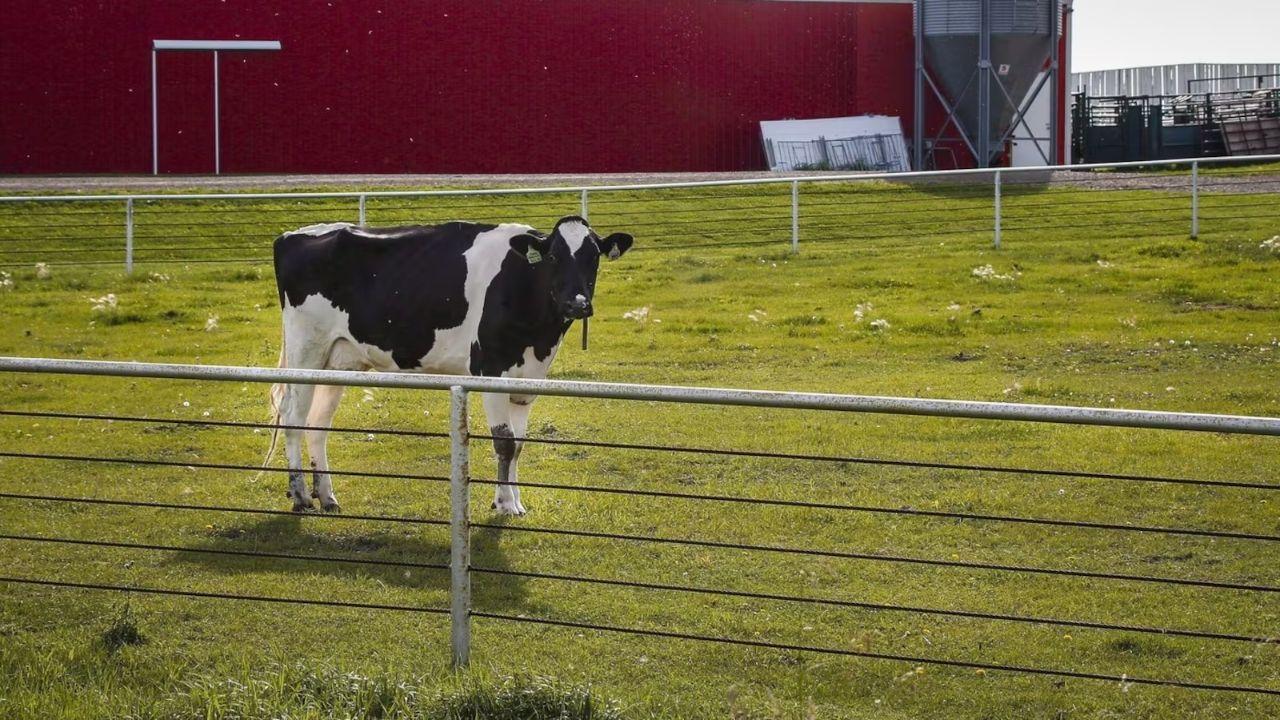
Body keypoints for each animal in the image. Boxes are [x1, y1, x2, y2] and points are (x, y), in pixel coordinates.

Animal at [266, 216, 633, 515]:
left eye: (594, 257)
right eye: (554, 257)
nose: (577, 303)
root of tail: (291, 234)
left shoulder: (528, 379)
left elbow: (518, 445)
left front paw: (514, 500)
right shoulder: (491, 370)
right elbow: (504, 442)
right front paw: (505, 505)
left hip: (338, 361)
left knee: (317, 423)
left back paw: (327, 496)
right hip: (306, 349)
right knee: (293, 415)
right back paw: (300, 496)